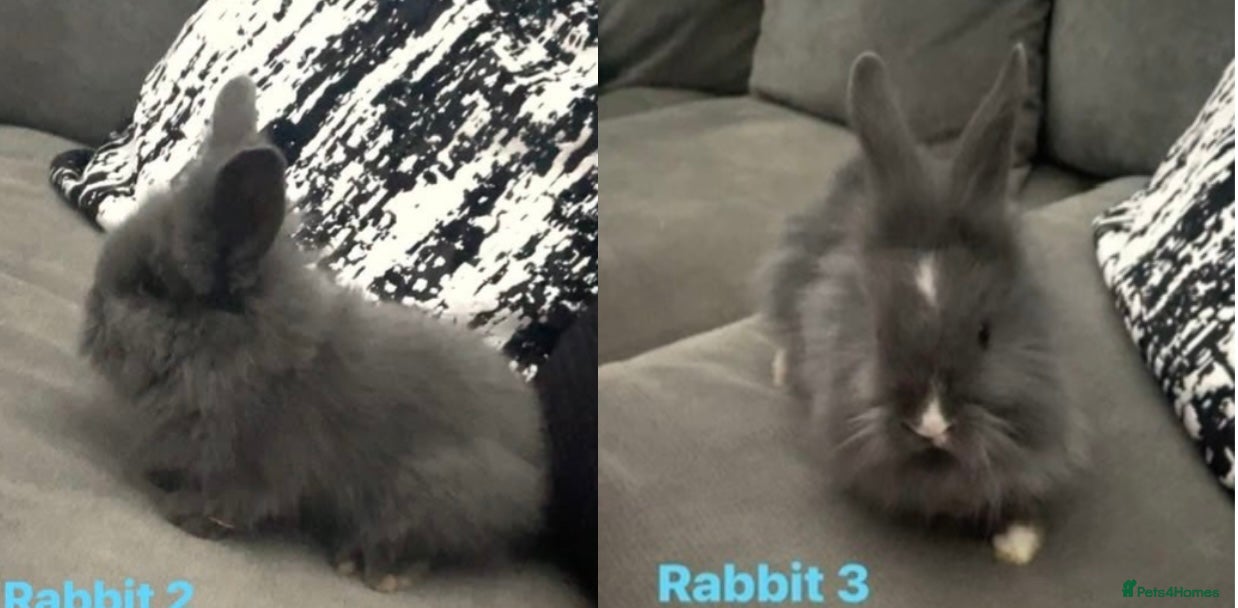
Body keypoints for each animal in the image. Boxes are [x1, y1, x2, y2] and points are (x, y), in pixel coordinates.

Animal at [80, 75, 548, 592]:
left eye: (151, 286)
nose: (92, 311)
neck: (243, 353)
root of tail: (535, 474)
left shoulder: (253, 464)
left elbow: (231, 501)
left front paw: (183, 514)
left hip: (431, 490)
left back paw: (373, 570)